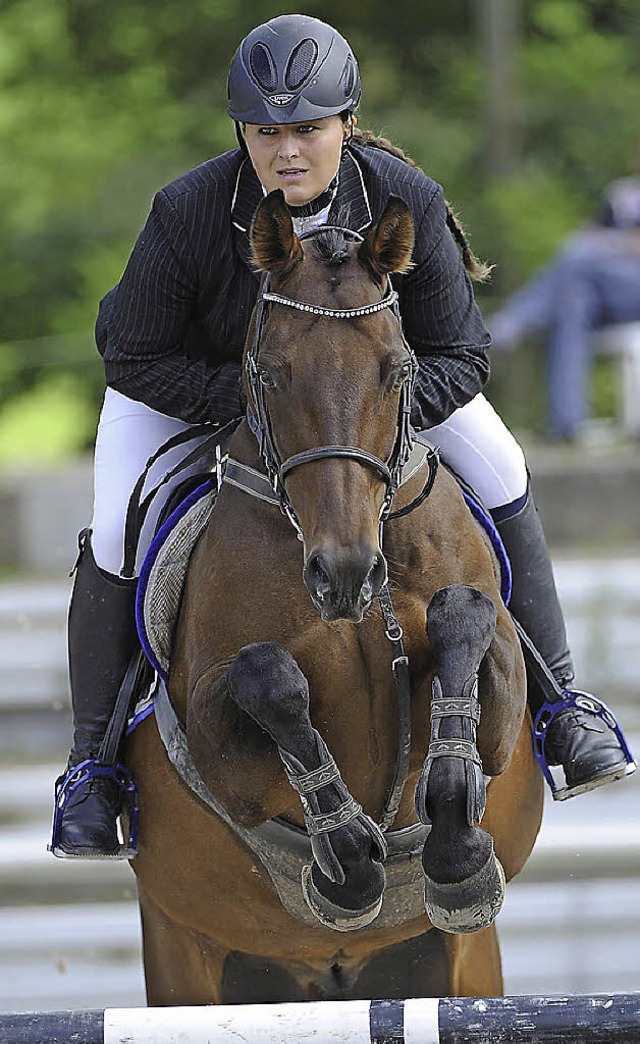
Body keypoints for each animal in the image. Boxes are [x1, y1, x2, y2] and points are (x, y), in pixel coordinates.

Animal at [125, 190, 542, 1002]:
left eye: (398, 368)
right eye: (270, 372)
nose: (344, 573)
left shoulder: (503, 697)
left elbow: (463, 619)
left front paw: (457, 858)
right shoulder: (217, 753)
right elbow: (266, 675)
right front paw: (348, 855)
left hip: (461, 967)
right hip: (182, 958)